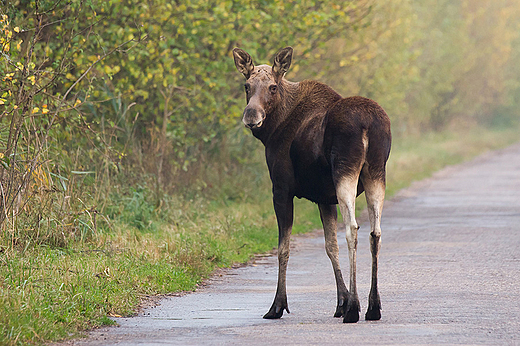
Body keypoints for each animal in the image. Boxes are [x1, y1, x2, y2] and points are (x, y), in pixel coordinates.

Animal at [234, 47, 392, 324]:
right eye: (246, 85)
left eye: (272, 87)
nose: (251, 116)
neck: (273, 129)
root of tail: (368, 124)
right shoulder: (323, 197)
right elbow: (330, 246)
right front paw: (340, 301)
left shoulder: (281, 189)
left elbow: (283, 248)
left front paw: (277, 305)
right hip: (376, 173)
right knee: (375, 233)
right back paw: (373, 306)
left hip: (345, 171)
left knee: (352, 229)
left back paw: (355, 308)